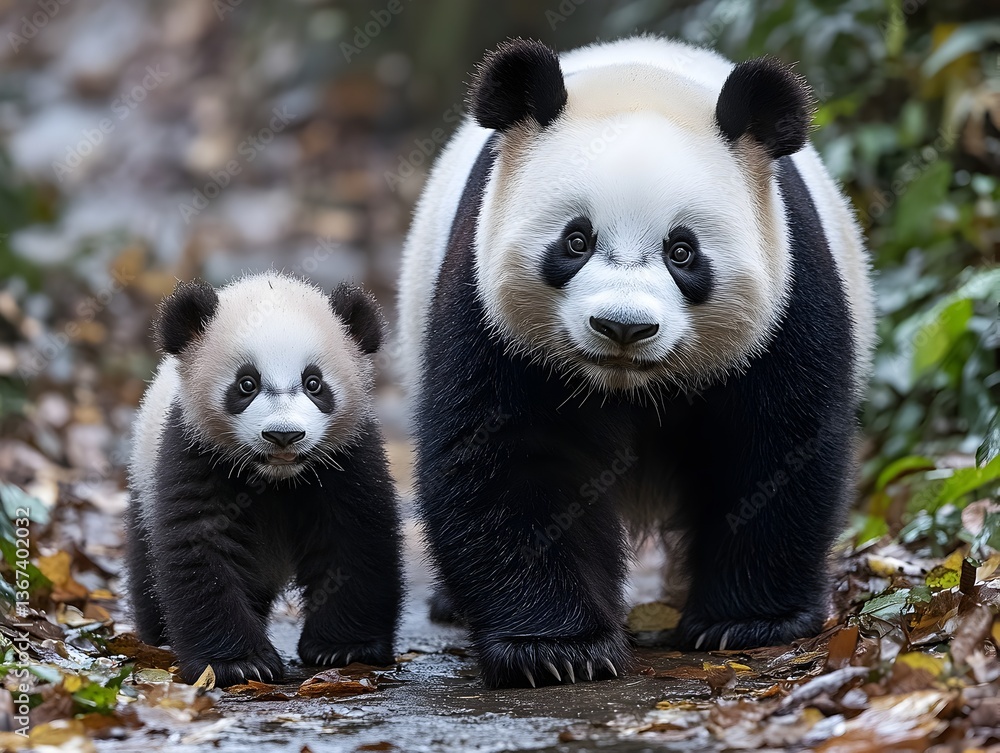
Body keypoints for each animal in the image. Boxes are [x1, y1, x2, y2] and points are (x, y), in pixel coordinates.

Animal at [125, 272, 403, 687]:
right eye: (246, 384)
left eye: (314, 383)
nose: (283, 435)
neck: (276, 478)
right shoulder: (196, 451)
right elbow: (200, 544)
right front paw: (240, 664)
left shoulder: (347, 455)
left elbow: (355, 537)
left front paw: (343, 648)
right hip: (141, 483)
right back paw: (157, 638)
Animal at [397, 36, 875, 688]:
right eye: (576, 241)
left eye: (683, 251)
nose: (623, 327)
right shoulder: (487, 304)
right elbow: (508, 456)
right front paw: (554, 650)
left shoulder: (788, 291)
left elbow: (773, 445)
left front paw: (746, 623)